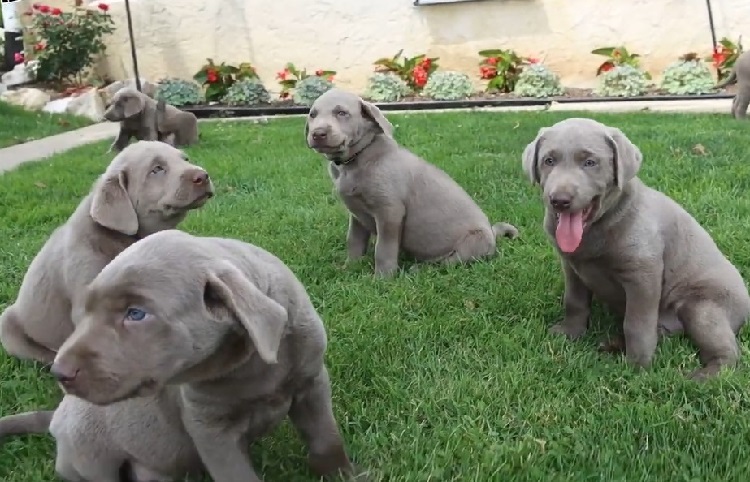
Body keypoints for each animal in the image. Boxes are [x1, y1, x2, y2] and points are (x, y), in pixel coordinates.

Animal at [524, 117, 750, 380]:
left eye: (590, 162)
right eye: (548, 161)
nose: (559, 200)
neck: (597, 227)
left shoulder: (643, 276)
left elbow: (636, 324)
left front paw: (636, 366)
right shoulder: (572, 267)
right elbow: (574, 301)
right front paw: (570, 333)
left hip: (704, 307)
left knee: (727, 351)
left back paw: (702, 377)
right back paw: (613, 344)